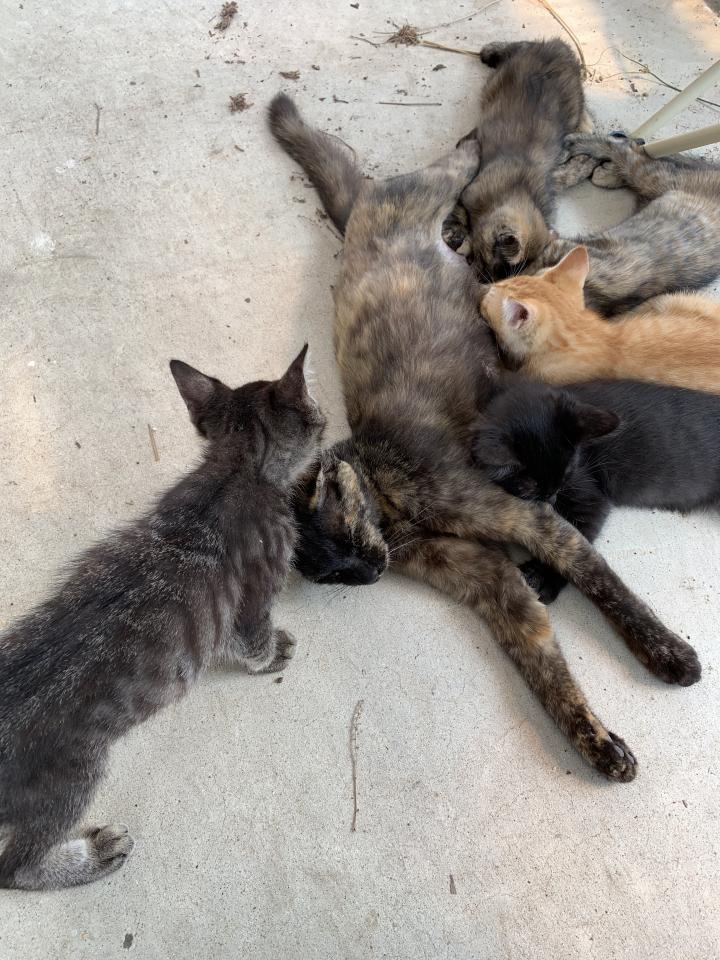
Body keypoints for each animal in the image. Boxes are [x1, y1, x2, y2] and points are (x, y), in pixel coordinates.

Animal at [0, 347, 325, 890]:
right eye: (317, 409)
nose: (326, 421)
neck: (236, 467)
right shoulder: (257, 591)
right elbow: (252, 636)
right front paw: (269, 654)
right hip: (73, 779)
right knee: (14, 868)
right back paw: (87, 858)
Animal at [456, 39, 589, 279]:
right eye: (496, 267)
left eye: (503, 275)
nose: (484, 279)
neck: (518, 188)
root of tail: (560, 47)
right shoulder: (467, 191)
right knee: (520, 44)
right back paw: (489, 52)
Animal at [474, 377, 720, 602]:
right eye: (530, 486)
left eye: (568, 472)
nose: (551, 498)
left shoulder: (590, 498)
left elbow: (571, 542)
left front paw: (542, 577)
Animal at [534, 132, 720, 316]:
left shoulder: (563, 246)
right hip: (653, 181)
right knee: (633, 147)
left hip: (652, 178)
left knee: (626, 150)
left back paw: (585, 153)